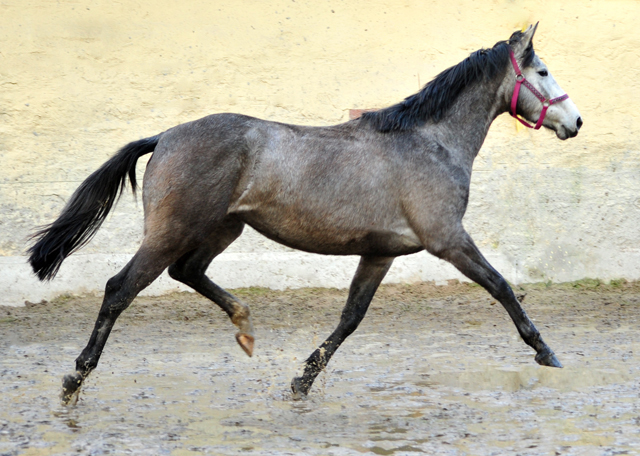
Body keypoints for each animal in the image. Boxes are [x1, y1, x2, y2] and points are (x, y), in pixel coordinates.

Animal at [28, 23, 580, 404]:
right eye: (543, 72)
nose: (575, 122)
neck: (429, 141)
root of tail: (164, 136)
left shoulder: (380, 253)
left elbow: (351, 318)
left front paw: (301, 381)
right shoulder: (448, 240)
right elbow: (503, 287)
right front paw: (547, 353)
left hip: (223, 227)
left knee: (187, 272)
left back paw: (244, 325)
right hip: (173, 230)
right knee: (120, 288)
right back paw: (74, 380)